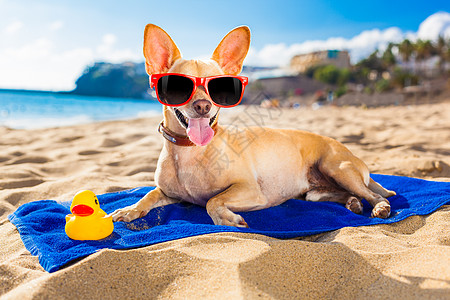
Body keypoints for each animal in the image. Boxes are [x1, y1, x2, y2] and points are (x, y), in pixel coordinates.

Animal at [110, 24, 396, 227]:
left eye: (218, 87)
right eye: (179, 86)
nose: (203, 106)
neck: (189, 151)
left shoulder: (250, 191)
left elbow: (213, 200)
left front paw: (225, 218)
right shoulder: (168, 193)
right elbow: (148, 195)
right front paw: (130, 209)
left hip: (337, 167)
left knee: (374, 194)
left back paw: (379, 206)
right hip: (314, 193)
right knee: (343, 195)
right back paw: (352, 203)